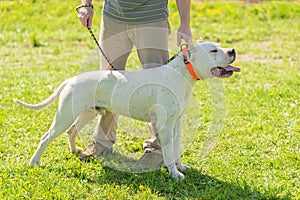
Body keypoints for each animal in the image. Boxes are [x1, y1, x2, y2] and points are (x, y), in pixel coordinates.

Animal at [14, 42, 240, 180]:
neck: (183, 72)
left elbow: (175, 149)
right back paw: (34, 162)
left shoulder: (176, 123)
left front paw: (180, 167)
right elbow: (168, 151)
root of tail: (71, 79)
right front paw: (174, 174)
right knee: (46, 137)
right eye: (213, 51)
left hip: (86, 112)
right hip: (65, 115)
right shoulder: (166, 126)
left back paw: (74, 151)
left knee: (72, 131)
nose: (232, 51)